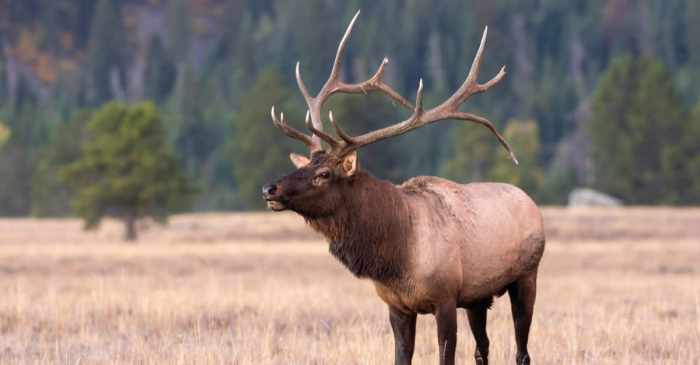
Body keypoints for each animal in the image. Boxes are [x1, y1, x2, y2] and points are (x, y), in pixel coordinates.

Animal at [262, 10, 548, 364]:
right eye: (303, 166)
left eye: (324, 173)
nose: (270, 189)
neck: (396, 256)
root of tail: (529, 201)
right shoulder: (396, 306)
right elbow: (402, 357)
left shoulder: (445, 298)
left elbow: (446, 355)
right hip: (478, 298)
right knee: (483, 348)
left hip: (526, 275)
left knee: (522, 350)